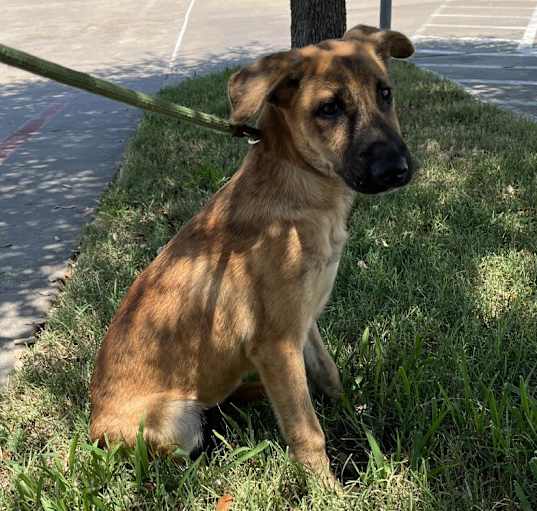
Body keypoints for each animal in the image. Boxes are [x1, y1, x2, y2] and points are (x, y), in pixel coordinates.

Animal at [90, 26, 414, 486]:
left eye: (385, 93)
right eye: (329, 108)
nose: (397, 170)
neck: (302, 187)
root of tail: (92, 425)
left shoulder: (303, 324)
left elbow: (327, 374)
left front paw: (350, 414)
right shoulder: (276, 343)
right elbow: (307, 432)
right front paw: (329, 490)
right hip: (170, 420)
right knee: (189, 445)